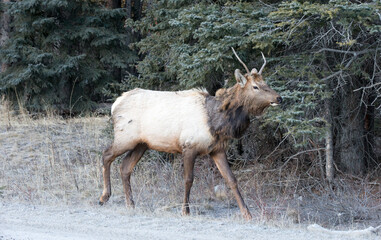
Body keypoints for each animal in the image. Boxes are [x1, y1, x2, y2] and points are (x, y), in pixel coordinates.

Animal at [98, 47, 282, 220]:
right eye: (255, 86)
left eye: (265, 82)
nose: (278, 98)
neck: (216, 122)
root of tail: (115, 104)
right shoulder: (189, 146)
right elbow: (188, 179)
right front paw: (185, 210)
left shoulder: (217, 149)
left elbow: (231, 179)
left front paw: (247, 213)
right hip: (125, 137)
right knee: (106, 154)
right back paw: (104, 197)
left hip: (141, 144)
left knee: (125, 167)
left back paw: (130, 203)